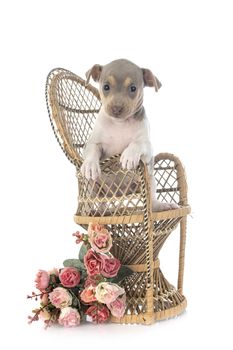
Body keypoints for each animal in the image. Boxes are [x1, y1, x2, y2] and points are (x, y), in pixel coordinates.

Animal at [81, 59, 177, 211]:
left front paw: (129, 156)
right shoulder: (92, 143)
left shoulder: (147, 147)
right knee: (95, 202)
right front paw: (90, 165)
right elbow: (93, 150)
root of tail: (116, 194)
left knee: (152, 200)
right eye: (106, 87)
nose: (116, 108)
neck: (119, 124)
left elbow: (137, 143)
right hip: (92, 187)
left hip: (150, 180)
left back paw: (162, 205)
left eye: (133, 88)